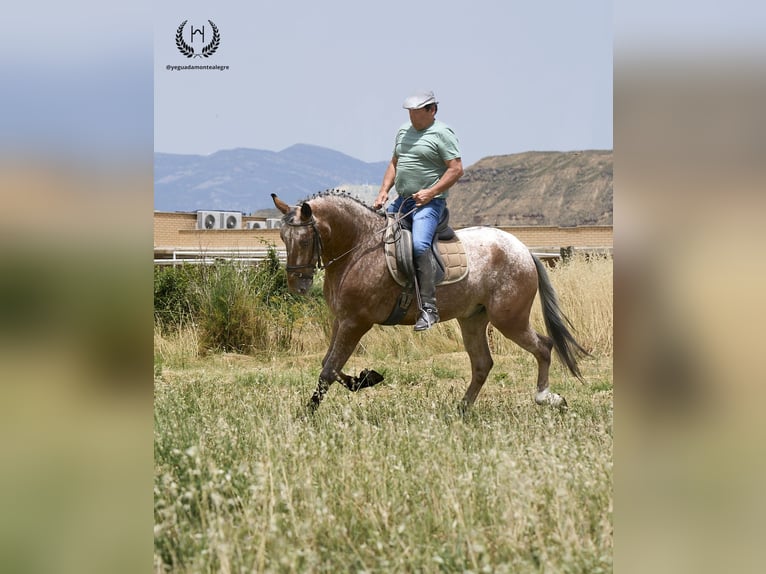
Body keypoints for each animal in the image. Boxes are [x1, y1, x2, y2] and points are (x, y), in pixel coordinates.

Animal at [272, 191, 592, 412]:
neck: (359, 247)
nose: (297, 285)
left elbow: (328, 369)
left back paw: (548, 398)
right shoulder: (341, 320)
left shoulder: (356, 322)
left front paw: (308, 414)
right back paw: (461, 411)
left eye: (304, 241)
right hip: (473, 319)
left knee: (543, 347)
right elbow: (330, 364)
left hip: (509, 319)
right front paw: (366, 377)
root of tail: (524, 250)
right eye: (283, 237)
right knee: (482, 364)